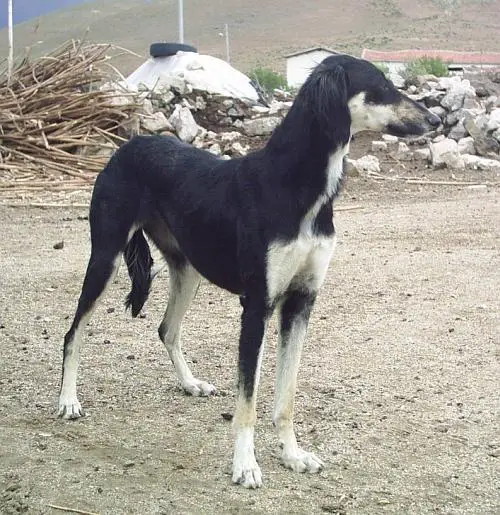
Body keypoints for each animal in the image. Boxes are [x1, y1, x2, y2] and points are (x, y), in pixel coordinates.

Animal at [58, 55, 440, 488]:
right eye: (381, 87)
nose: (435, 120)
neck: (298, 187)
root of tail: (128, 145)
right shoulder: (258, 305)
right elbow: (248, 400)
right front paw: (245, 465)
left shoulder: (301, 302)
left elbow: (285, 395)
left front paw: (292, 455)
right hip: (104, 257)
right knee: (74, 332)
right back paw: (68, 401)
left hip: (188, 270)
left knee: (166, 329)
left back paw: (190, 383)